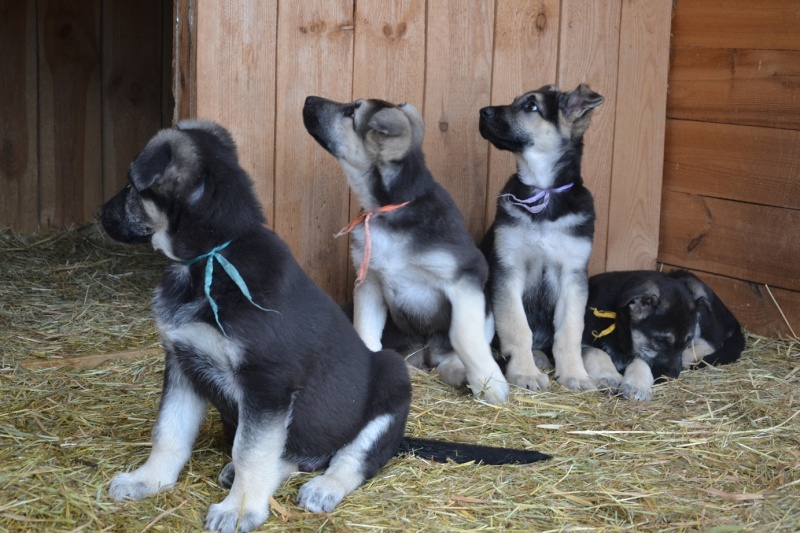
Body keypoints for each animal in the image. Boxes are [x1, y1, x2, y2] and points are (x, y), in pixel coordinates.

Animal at [304, 96, 510, 404]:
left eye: (351, 112)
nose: (308, 99)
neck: (388, 211)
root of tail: (424, 357)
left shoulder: (466, 277)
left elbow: (464, 335)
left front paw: (491, 383)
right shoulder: (369, 282)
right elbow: (365, 331)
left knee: (451, 357)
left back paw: (461, 374)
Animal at [478, 82, 604, 390]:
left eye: (531, 106)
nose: (482, 112)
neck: (544, 190)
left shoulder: (572, 274)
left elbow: (569, 331)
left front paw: (574, 374)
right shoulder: (508, 269)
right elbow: (517, 327)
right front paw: (524, 372)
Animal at [580, 270, 744, 400]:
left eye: (686, 341)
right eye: (661, 340)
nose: (671, 377)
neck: (618, 327)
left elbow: (642, 360)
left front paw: (637, 385)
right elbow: (597, 352)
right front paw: (609, 377)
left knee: (712, 343)